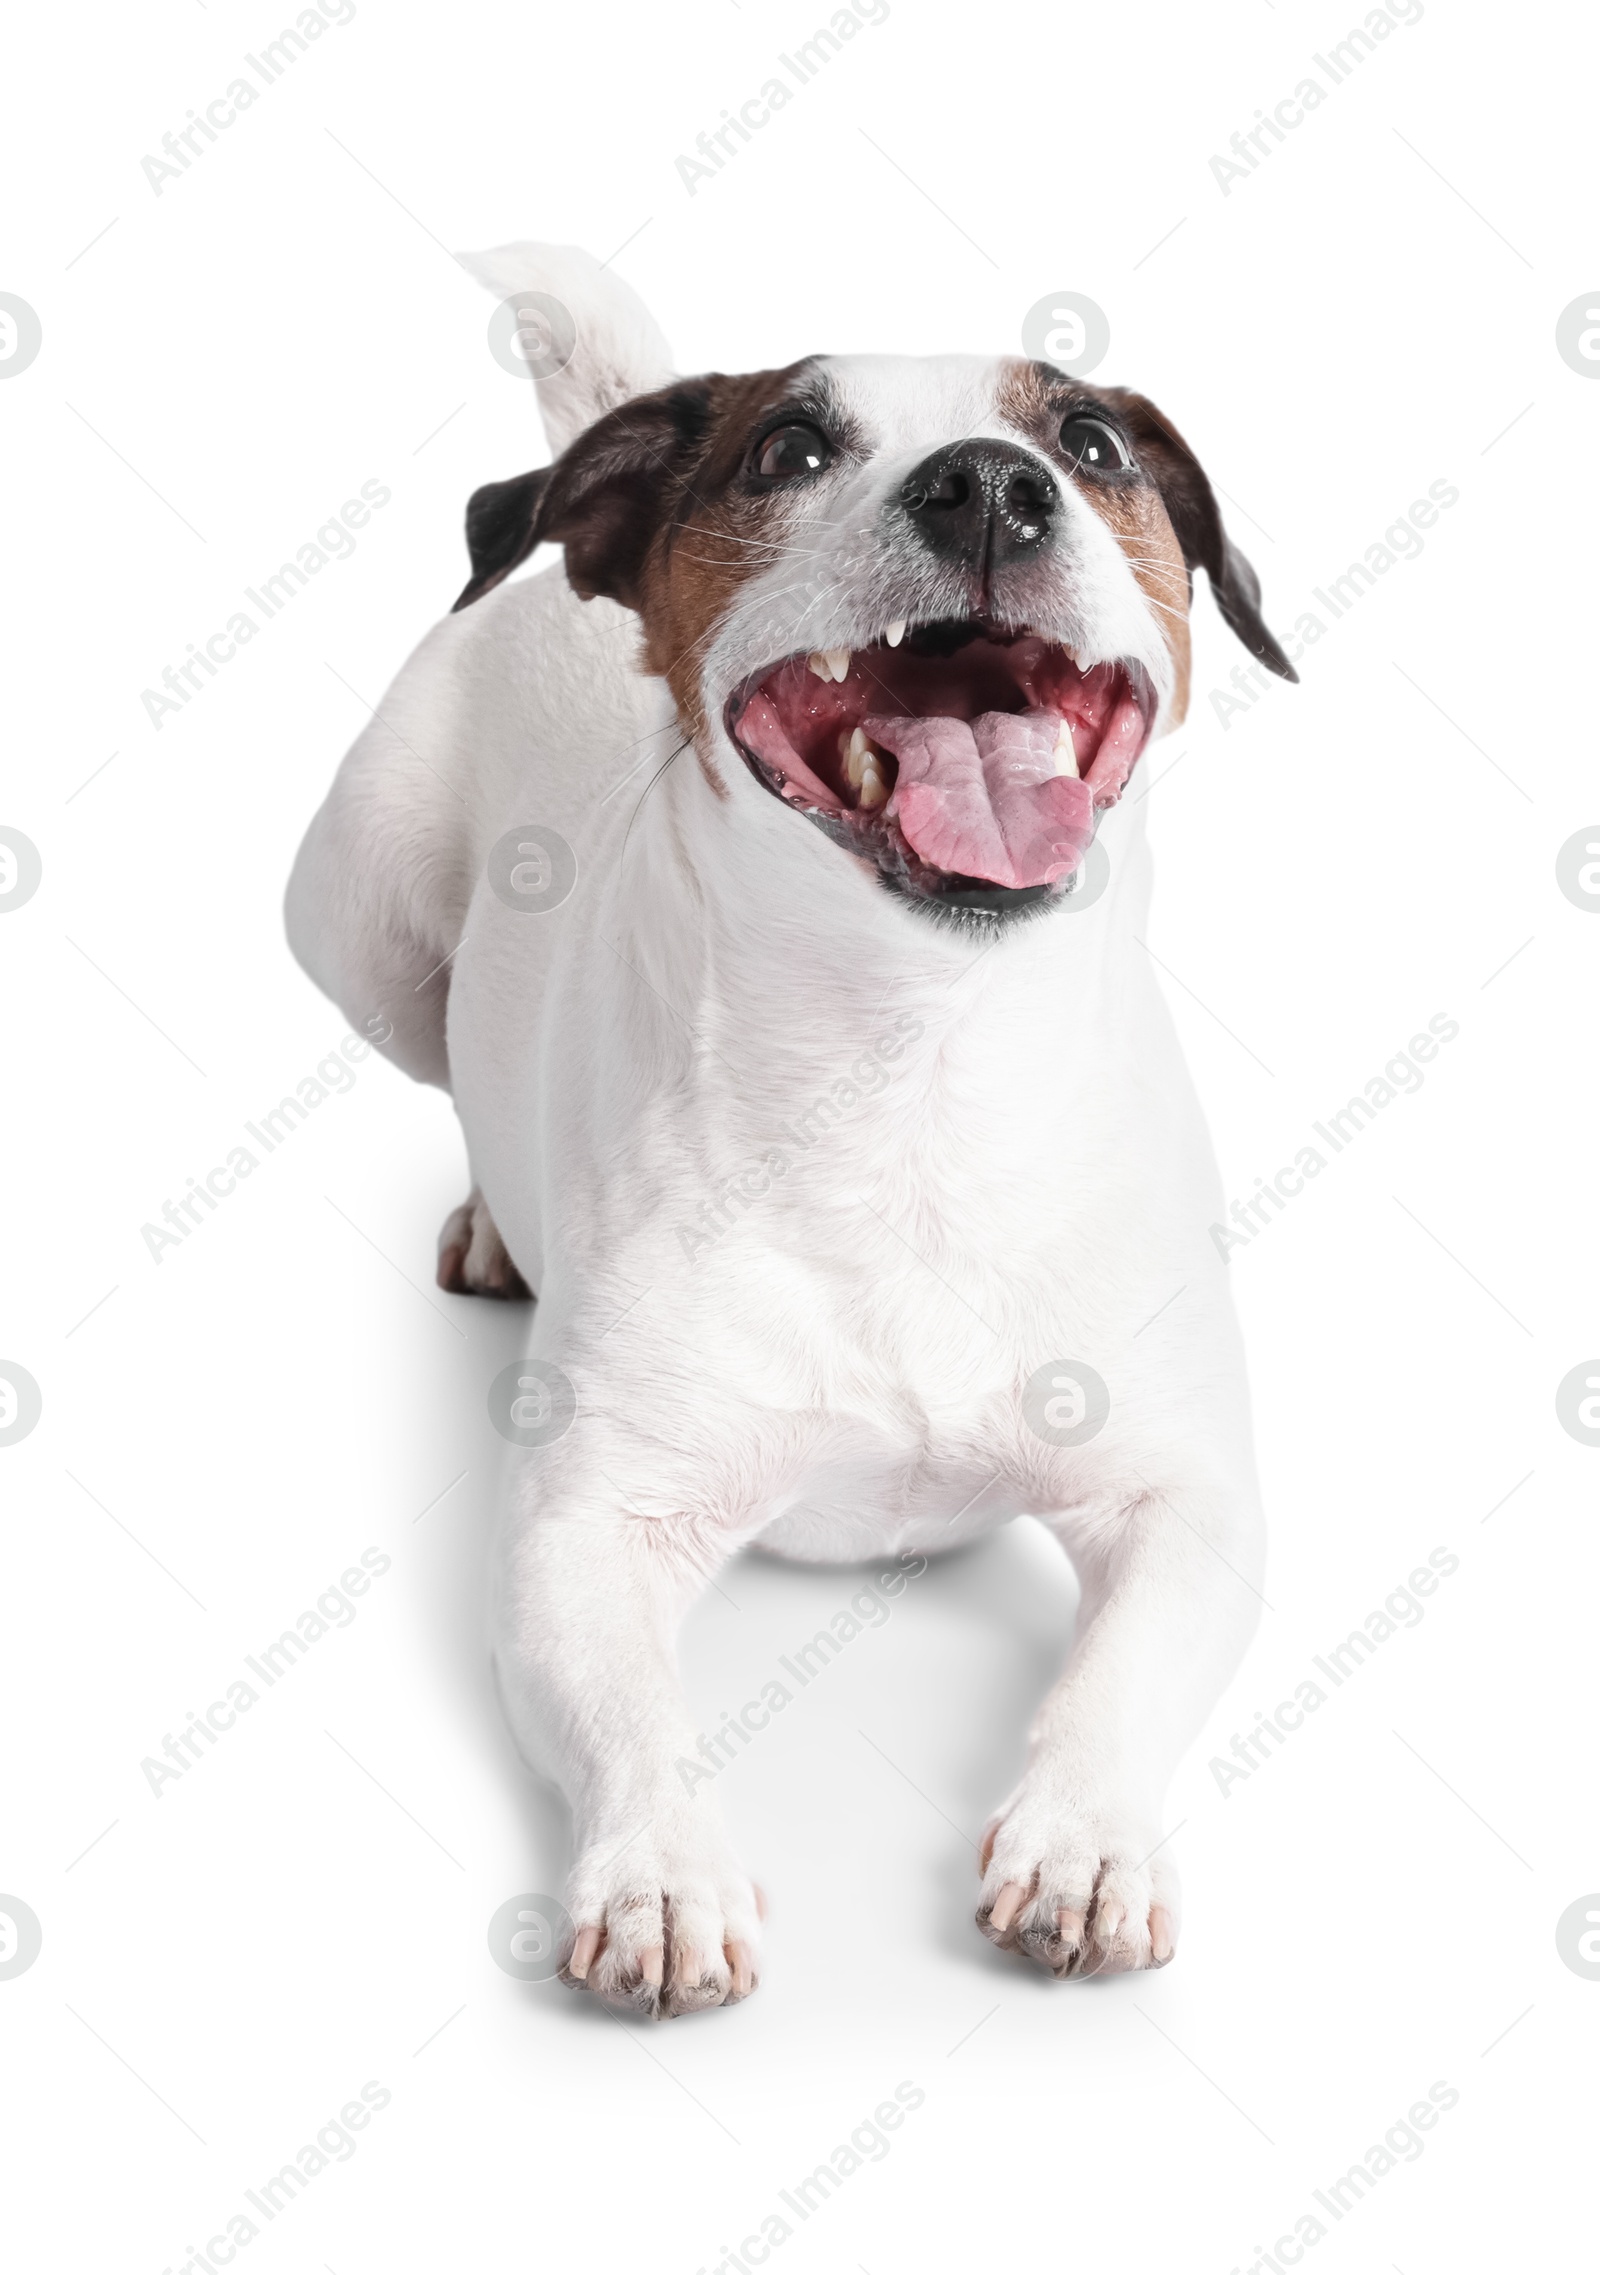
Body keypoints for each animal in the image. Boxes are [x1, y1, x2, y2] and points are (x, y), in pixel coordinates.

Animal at [282, 240, 1292, 2020]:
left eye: (1094, 442)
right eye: (792, 450)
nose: (990, 482)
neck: (910, 1067)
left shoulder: (1188, 1497)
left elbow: (1117, 1674)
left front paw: (1087, 1842)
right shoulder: (582, 1531)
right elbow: (630, 1712)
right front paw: (664, 1873)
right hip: (358, 923)